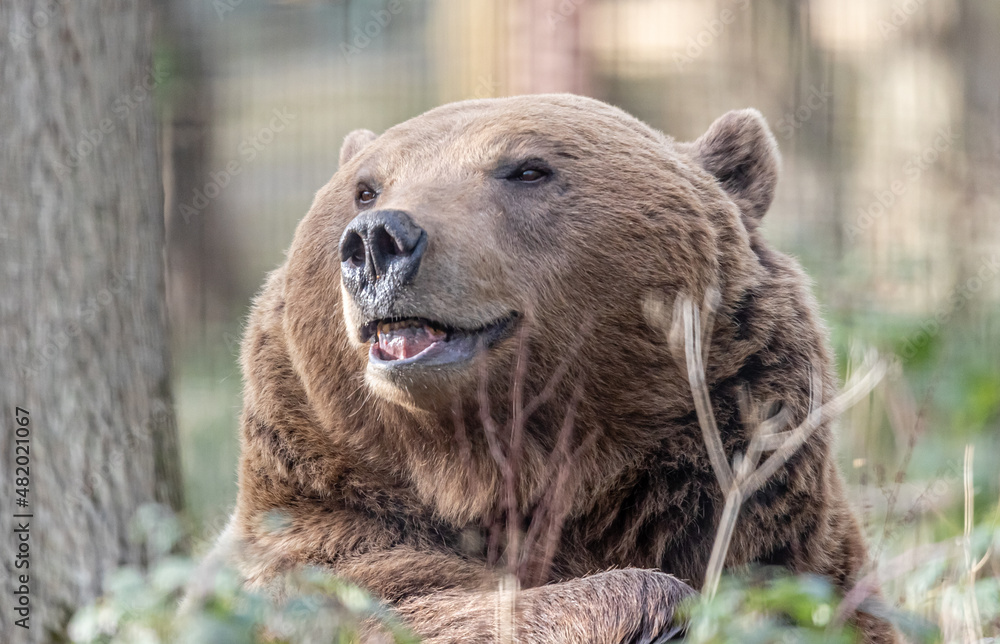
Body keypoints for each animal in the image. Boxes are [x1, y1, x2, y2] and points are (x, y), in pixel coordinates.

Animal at [206, 94, 897, 643]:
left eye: (528, 169)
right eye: (366, 187)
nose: (377, 239)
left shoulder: (768, 528)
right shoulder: (327, 525)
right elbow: (404, 601)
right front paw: (649, 609)